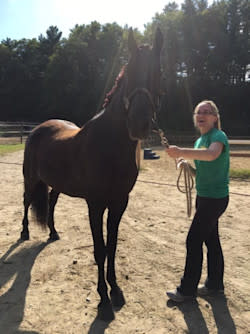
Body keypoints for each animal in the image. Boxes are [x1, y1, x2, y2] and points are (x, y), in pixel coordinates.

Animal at [20, 28, 163, 320]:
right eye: (129, 71)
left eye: (158, 71)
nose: (139, 123)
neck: (110, 145)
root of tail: (38, 128)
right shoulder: (95, 204)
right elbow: (100, 250)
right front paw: (104, 300)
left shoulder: (119, 203)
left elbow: (112, 246)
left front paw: (116, 290)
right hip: (31, 178)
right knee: (27, 201)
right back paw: (25, 232)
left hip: (55, 184)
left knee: (51, 202)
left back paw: (53, 232)